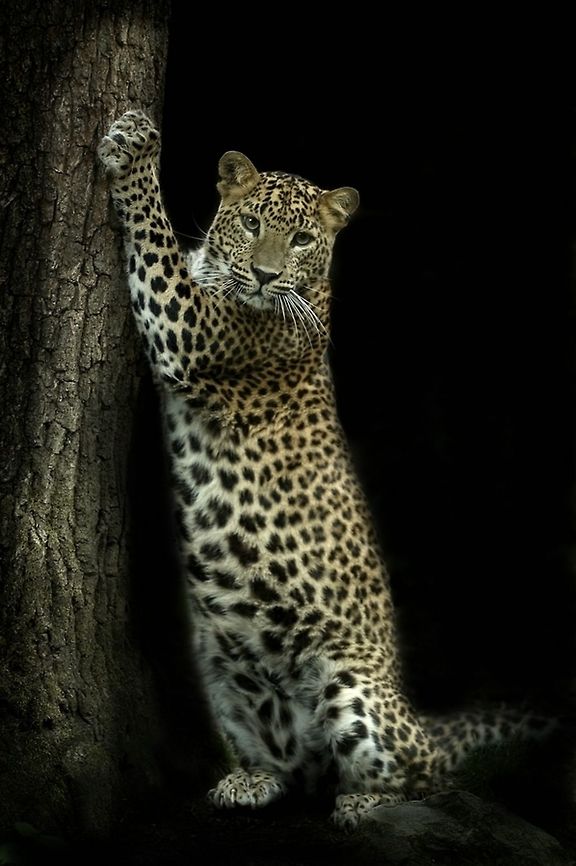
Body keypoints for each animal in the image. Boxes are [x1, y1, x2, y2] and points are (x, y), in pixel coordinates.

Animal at [97, 111, 554, 830]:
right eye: (252, 222)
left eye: (304, 239)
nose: (262, 276)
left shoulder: (190, 326)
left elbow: (155, 233)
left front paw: (137, 142)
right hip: (224, 674)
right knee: (294, 770)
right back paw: (251, 781)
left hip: (352, 689)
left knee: (423, 775)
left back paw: (364, 803)